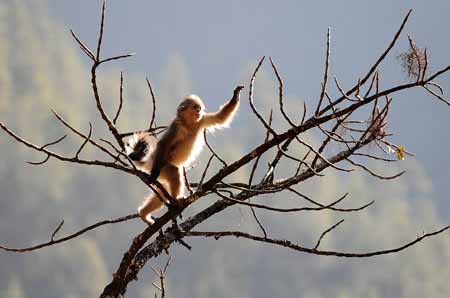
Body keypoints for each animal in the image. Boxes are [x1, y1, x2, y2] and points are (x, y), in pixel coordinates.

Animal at [125, 85, 244, 224]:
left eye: (199, 108)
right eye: (195, 107)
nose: (199, 111)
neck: (189, 124)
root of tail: (150, 160)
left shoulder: (202, 120)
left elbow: (220, 118)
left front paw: (236, 96)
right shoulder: (176, 126)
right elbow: (163, 144)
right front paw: (154, 173)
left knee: (162, 192)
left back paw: (144, 213)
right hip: (163, 165)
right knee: (175, 173)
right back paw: (175, 200)